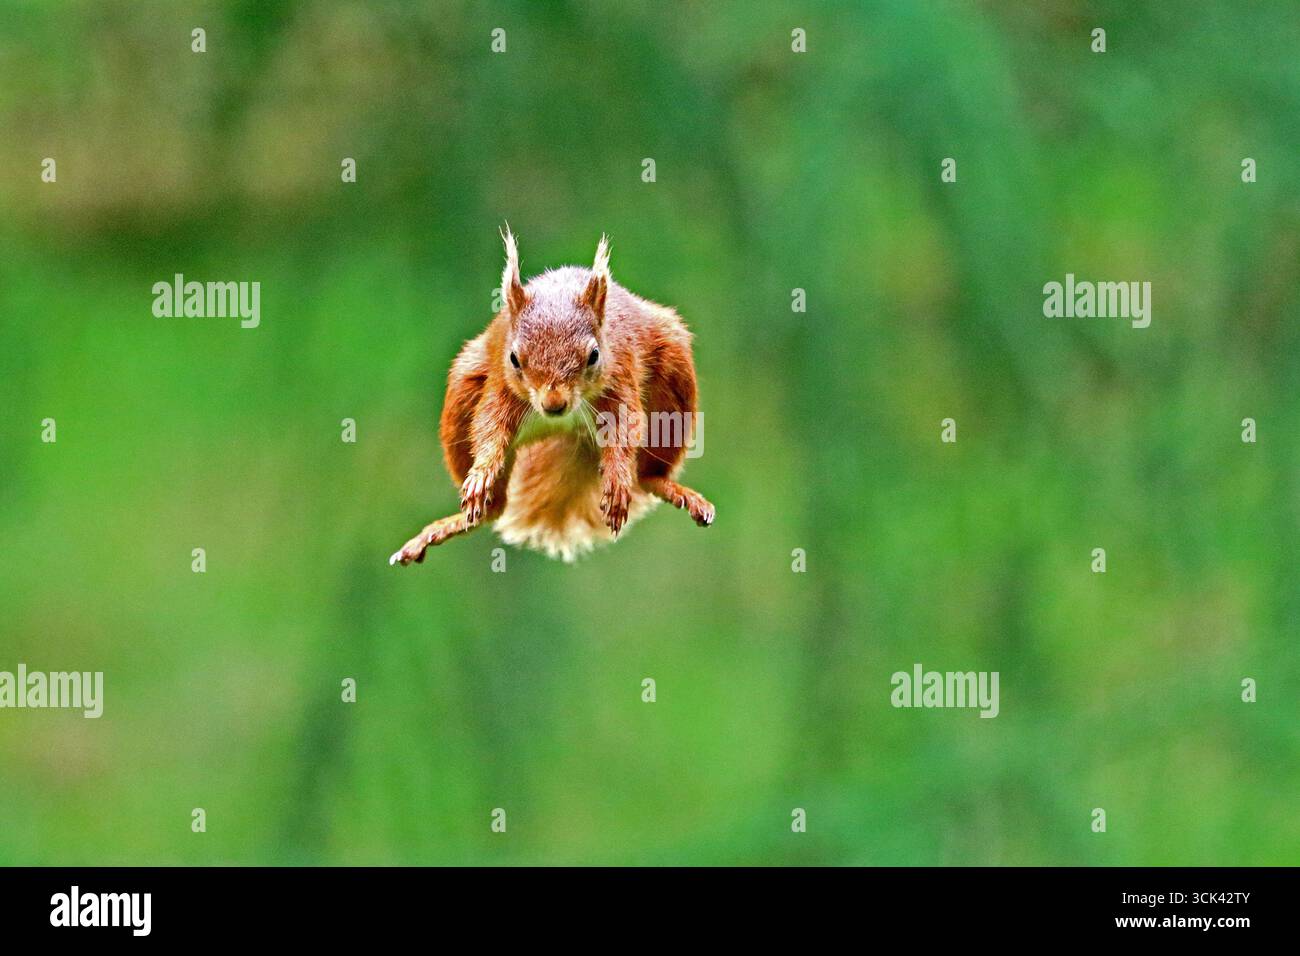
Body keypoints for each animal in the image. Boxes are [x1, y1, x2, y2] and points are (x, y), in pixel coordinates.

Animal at [390, 229, 715, 565]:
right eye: (514, 358)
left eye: (594, 356)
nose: (554, 404)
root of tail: (570, 430)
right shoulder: (501, 386)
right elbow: (489, 426)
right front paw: (481, 473)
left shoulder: (621, 375)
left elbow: (625, 429)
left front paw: (616, 478)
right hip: (462, 388)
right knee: (493, 510)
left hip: (673, 381)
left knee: (645, 476)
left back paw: (664, 486)